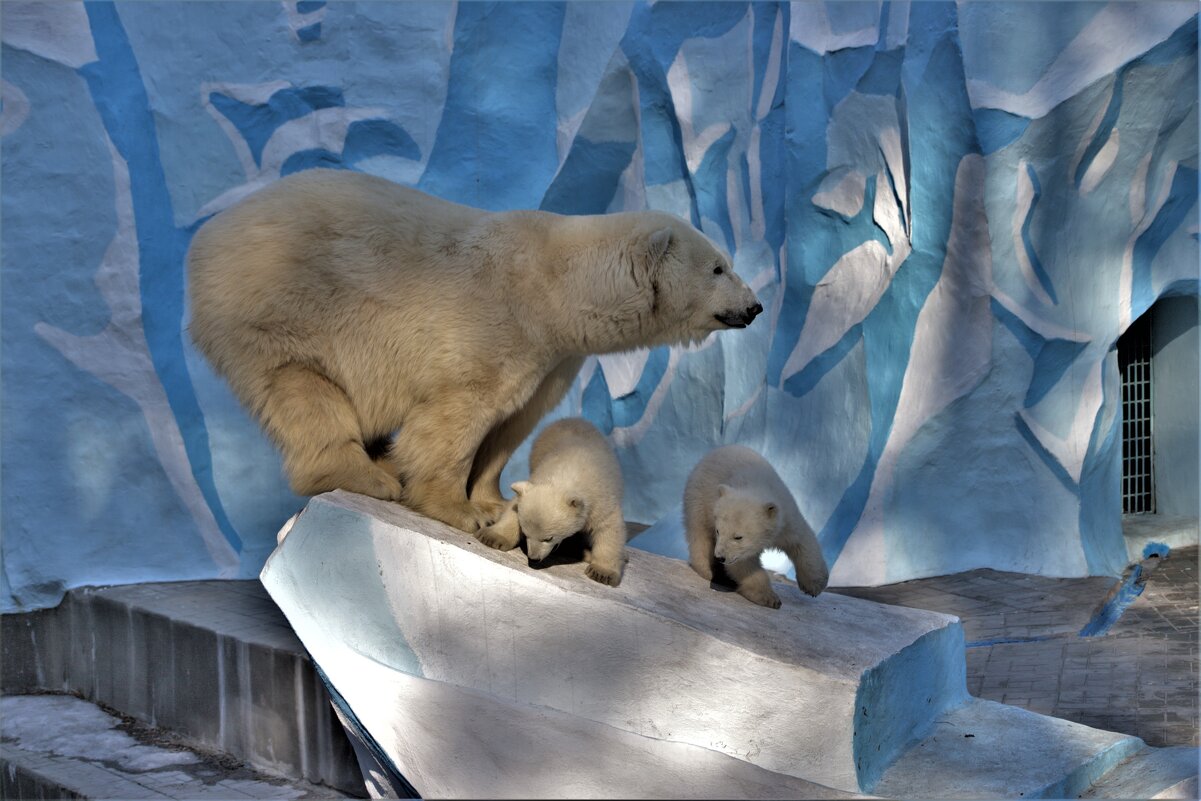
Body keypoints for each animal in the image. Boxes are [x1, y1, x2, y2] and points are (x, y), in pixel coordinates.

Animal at [192, 169, 763, 533]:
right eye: (718, 267)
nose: (756, 306)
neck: (555, 286)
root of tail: (210, 235)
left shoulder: (552, 356)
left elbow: (512, 421)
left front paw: (494, 498)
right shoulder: (493, 324)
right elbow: (457, 415)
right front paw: (460, 509)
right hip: (286, 310)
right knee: (302, 389)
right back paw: (366, 474)